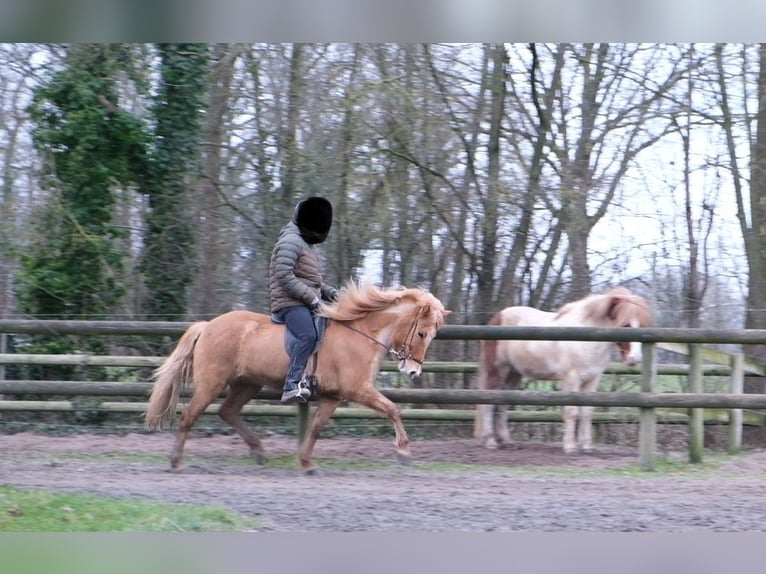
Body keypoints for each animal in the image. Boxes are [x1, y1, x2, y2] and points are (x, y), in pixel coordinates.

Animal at [146, 282, 450, 474]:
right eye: (421, 333)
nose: (412, 372)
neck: (361, 334)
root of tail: (208, 325)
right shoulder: (359, 390)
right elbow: (393, 409)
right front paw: (404, 452)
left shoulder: (332, 397)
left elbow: (315, 429)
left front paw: (307, 463)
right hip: (212, 383)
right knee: (189, 416)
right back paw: (176, 462)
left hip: (247, 384)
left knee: (228, 411)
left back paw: (258, 450)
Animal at [476, 290, 652, 456]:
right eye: (626, 325)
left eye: (642, 325)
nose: (635, 358)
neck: (587, 339)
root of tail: (496, 318)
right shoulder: (571, 379)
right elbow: (572, 412)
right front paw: (570, 447)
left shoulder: (592, 380)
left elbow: (586, 413)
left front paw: (586, 447)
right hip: (498, 371)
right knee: (488, 403)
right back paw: (490, 442)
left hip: (513, 374)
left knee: (501, 404)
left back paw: (507, 442)